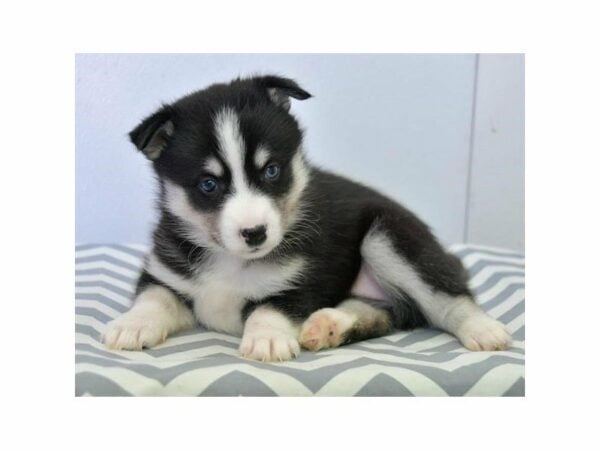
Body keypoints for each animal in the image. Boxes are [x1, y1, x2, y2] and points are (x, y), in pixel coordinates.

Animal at [103, 74, 510, 362]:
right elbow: (154, 298)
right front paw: (131, 324)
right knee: (388, 312)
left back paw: (483, 329)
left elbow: (272, 305)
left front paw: (266, 337)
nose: (255, 233)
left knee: (447, 299)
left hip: (388, 236)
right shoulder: (166, 272)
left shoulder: (306, 279)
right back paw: (330, 325)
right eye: (208, 184)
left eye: (271, 171)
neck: (231, 261)